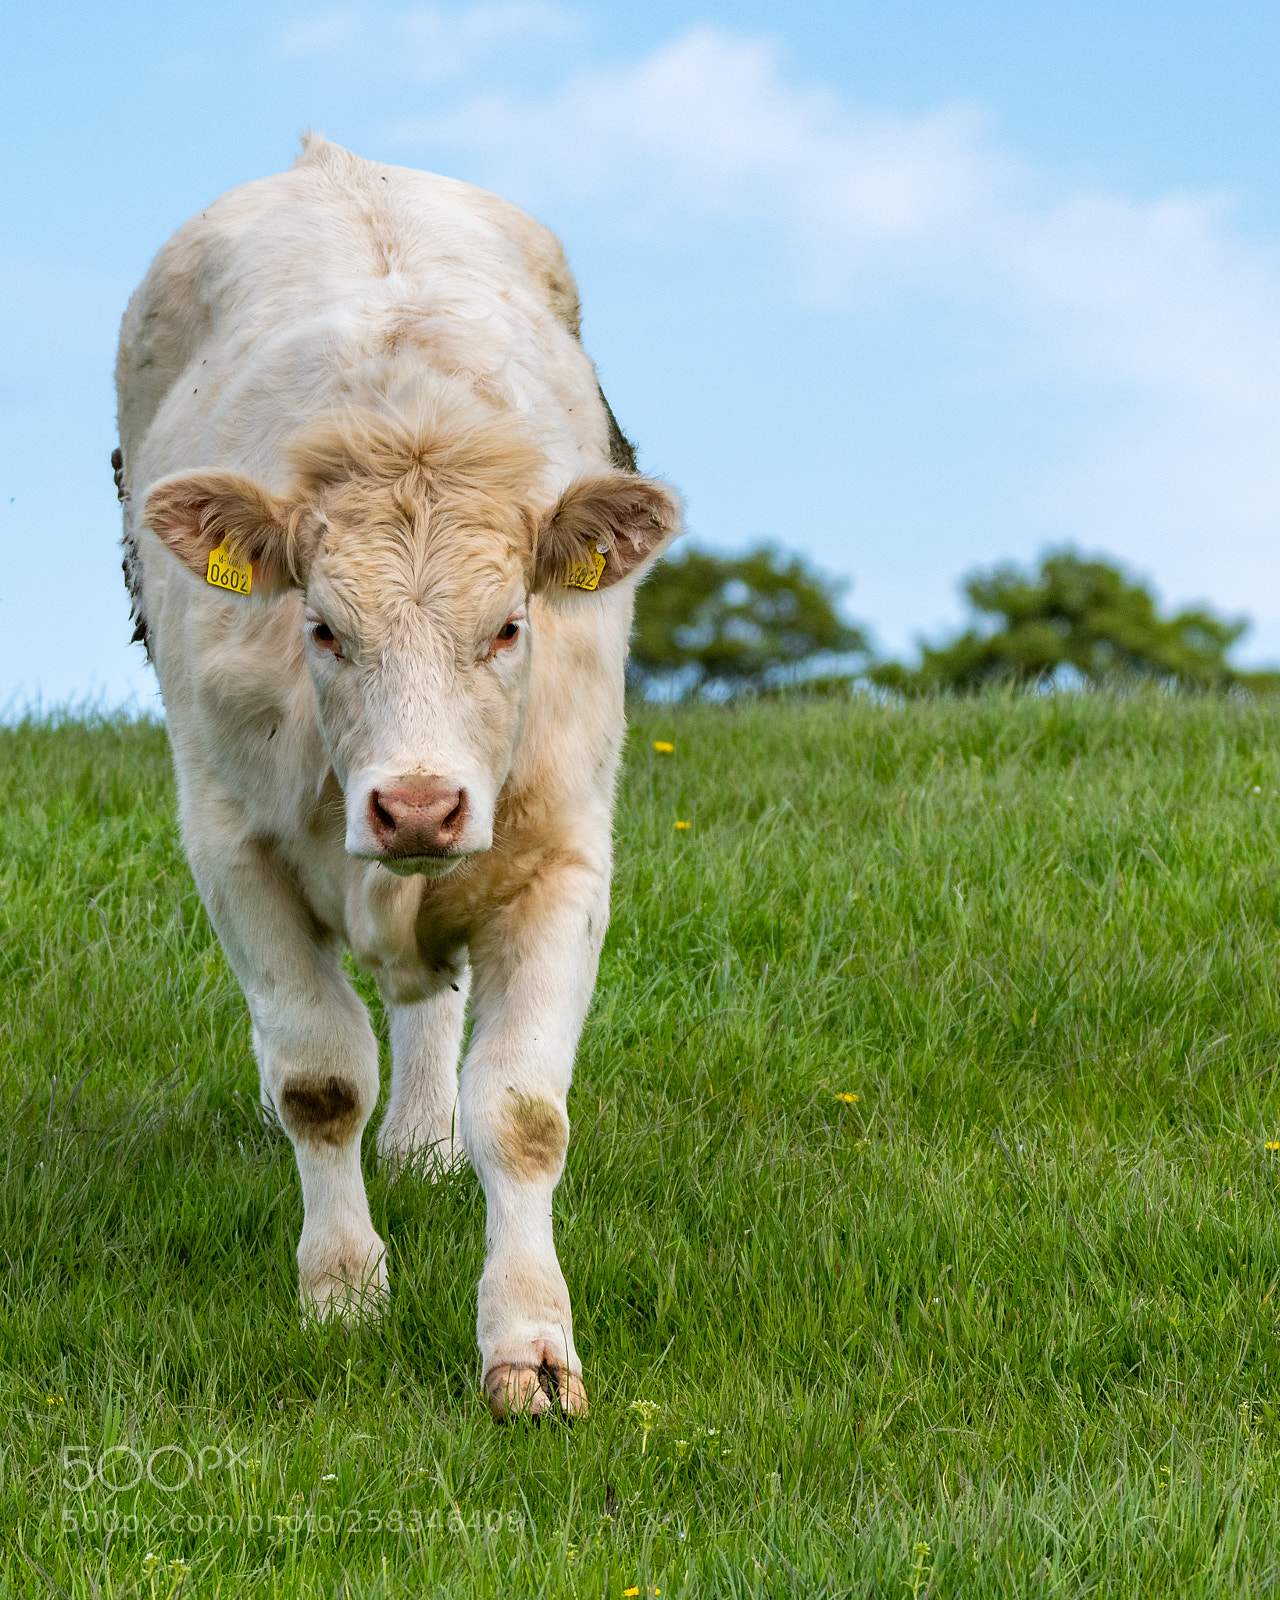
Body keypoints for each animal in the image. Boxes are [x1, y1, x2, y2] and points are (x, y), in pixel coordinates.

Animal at [114, 135, 681, 1420]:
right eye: (323, 629)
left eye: (510, 625)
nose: (417, 803)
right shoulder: (231, 848)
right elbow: (319, 1081)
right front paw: (341, 1291)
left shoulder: (561, 857)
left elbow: (521, 1113)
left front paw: (529, 1344)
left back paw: (424, 1140)